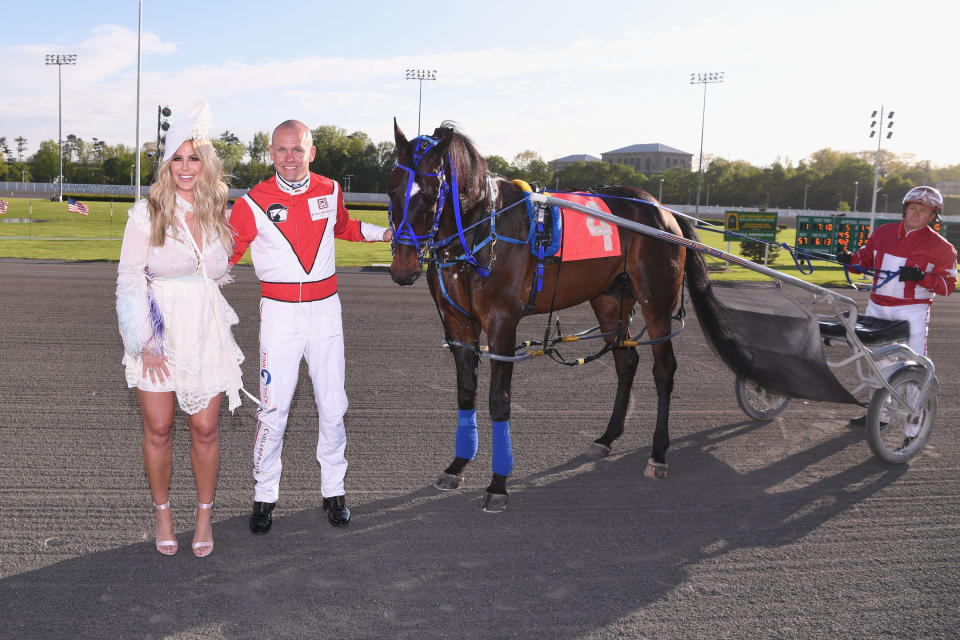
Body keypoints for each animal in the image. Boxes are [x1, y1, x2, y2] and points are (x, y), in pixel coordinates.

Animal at [388, 119, 744, 510]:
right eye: (392, 190)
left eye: (429, 194)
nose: (402, 269)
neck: (483, 229)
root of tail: (664, 210)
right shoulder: (458, 324)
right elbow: (466, 392)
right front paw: (456, 466)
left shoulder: (502, 323)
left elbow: (499, 401)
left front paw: (498, 483)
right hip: (610, 300)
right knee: (626, 362)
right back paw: (607, 437)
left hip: (657, 303)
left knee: (664, 370)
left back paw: (658, 454)